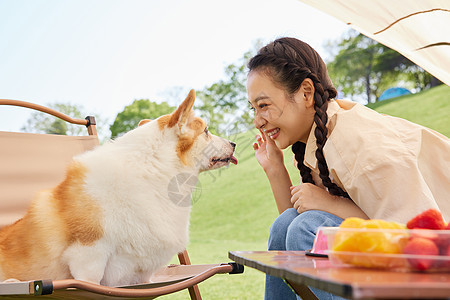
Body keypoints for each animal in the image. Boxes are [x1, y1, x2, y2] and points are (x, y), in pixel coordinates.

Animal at [0, 90, 237, 288]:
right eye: (206, 131)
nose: (234, 144)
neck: (153, 170)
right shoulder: (88, 255)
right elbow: (91, 280)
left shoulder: (143, 271)